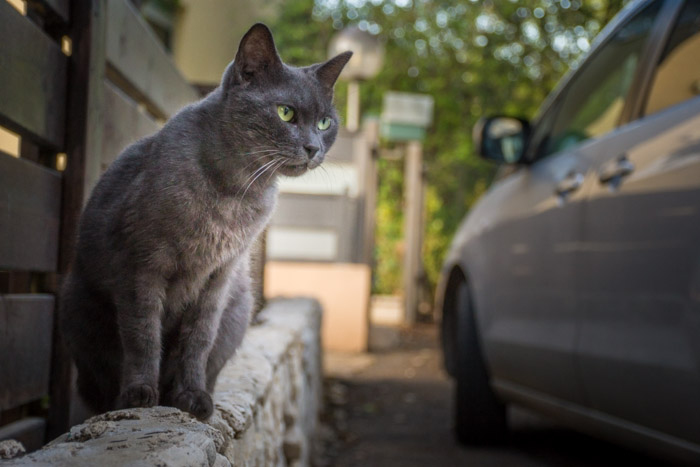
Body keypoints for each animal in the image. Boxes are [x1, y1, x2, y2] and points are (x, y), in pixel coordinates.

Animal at [59, 23, 352, 422]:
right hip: (79, 305)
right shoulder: (141, 265)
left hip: (239, 307)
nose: (313, 148)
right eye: (285, 112)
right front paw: (139, 394)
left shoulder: (220, 275)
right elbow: (142, 335)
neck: (234, 190)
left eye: (325, 122)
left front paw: (192, 396)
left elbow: (199, 340)